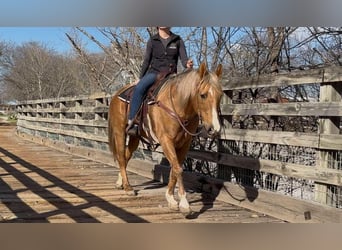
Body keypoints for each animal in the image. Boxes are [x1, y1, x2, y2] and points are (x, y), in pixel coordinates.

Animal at [108, 62, 223, 213]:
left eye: (220, 95)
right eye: (203, 95)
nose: (215, 129)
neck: (178, 106)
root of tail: (116, 94)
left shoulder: (184, 143)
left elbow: (175, 168)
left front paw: (171, 198)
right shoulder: (166, 140)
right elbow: (178, 169)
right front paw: (184, 203)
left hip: (135, 137)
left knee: (126, 156)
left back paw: (119, 181)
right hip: (119, 132)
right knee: (121, 156)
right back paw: (128, 187)